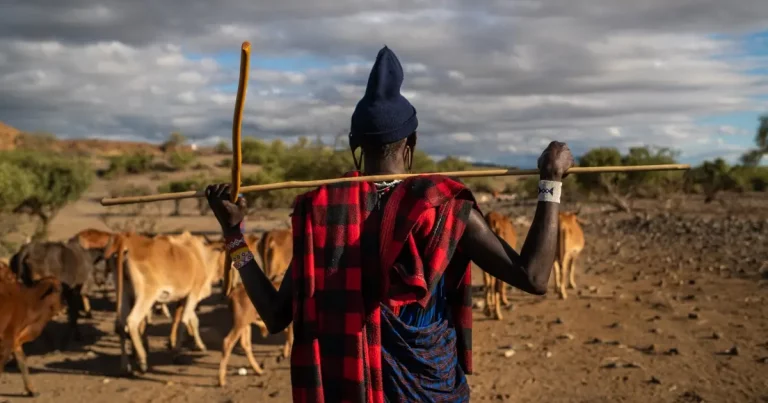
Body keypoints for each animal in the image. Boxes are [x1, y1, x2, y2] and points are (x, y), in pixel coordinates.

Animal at [103, 234, 222, 376]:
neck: (200, 255)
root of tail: (124, 241)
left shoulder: (184, 298)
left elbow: (191, 320)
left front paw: (199, 345)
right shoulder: (193, 294)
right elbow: (184, 322)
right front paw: (177, 353)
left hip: (124, 293)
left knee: (121, 325)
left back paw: (125, 366)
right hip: (146, 295)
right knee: (132, 321)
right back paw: (142, 361)